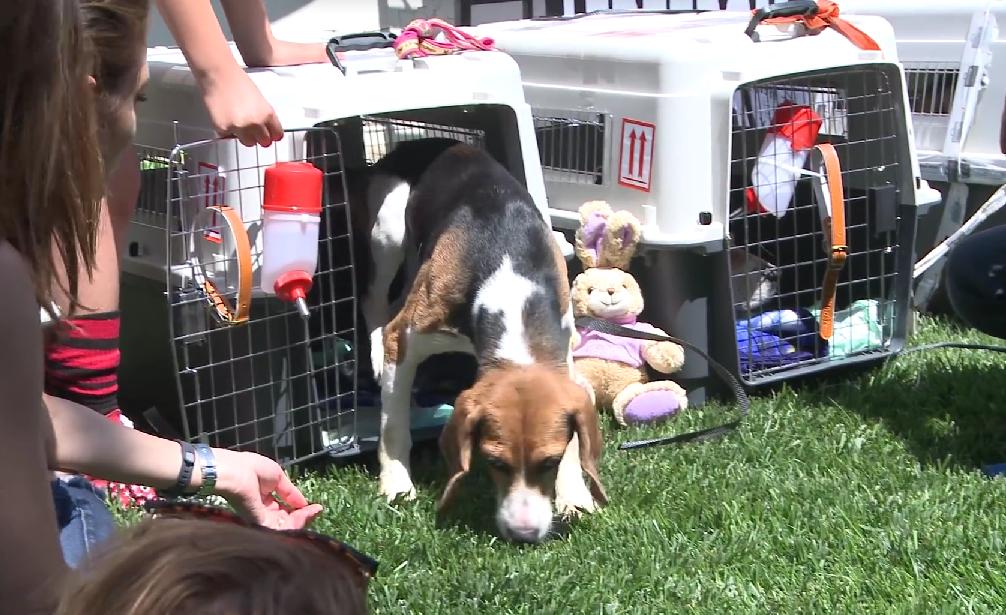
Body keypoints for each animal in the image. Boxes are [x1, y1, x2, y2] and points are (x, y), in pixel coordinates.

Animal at [366, 139, 607, 543]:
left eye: (550, 461)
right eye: (495, 462)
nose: (524, 534)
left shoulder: (564, 351)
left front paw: (575, 497)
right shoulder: (405, 339)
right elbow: (392, 425)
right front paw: (397, 485)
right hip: (388, 228)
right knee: (375, 303)